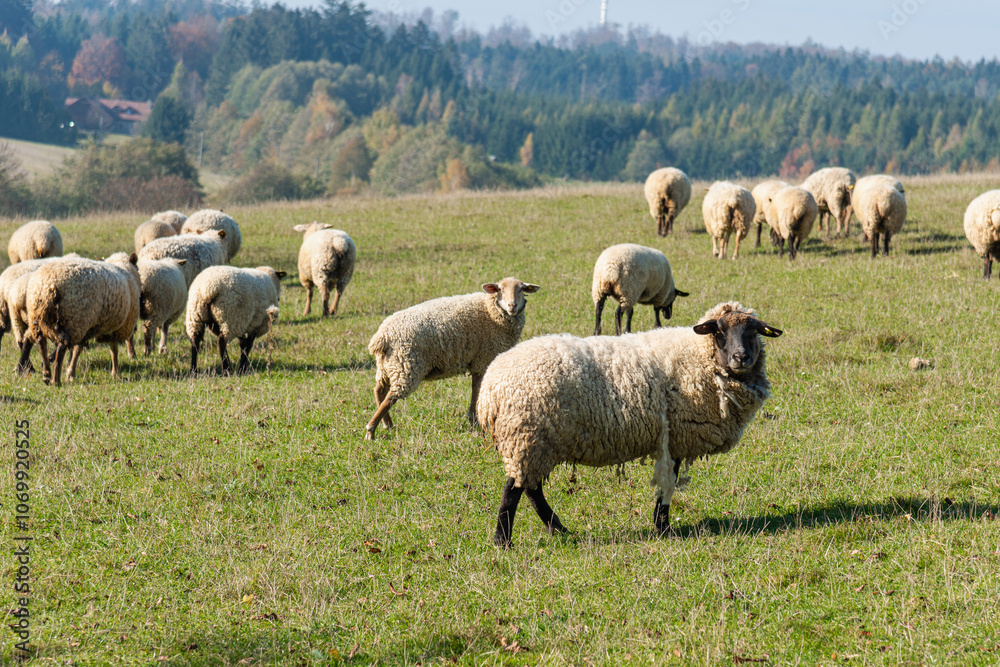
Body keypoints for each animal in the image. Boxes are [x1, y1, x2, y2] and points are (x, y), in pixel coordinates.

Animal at [25, 253, 141, 386]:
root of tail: (48, 286)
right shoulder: (115, 328)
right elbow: (114, 350)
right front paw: (116, 373)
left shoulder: (89, 327)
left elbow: (77, 350)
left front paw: (71, 373)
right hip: (73, 319)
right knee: (61, 347)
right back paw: (56, 380)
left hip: (39, 316)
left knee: (41, 342)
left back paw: (46, 374)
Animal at [365, 278, 540, 440]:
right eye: (500, 289)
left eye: (521, 289)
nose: (512, 306)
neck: (490, 311)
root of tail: (381, 337)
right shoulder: (482, 359)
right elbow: (476, 389)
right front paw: (475, 420)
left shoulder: (479, 361)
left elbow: (475, 389)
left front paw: (473, 420)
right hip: (406, 366)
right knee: (390, 397)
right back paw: (371, 430)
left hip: (388, 366)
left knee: (379, 391)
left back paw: (387, 424)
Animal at [476, 301, 782, 548]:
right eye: (719, 332)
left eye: (754, 332)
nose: (741, 358)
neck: (697, 357)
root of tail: (490, 389)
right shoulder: (674, 438)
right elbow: (668, 484)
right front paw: (663, 527)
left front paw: (661, 525)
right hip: (527, 437)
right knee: (515, 490)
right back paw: (504, 541)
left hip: (536, 442)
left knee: (531, 488)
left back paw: (558, 529)